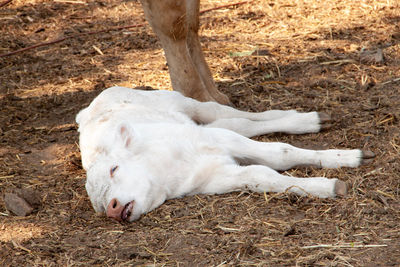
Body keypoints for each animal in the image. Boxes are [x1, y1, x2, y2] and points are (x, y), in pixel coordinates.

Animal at [76, 87, 374, 223]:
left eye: (114, 168)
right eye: (99, 207)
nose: (113, 208)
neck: (169, 170)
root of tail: (85, 111)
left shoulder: (221, 140)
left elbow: (280, 153)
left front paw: (348, 158)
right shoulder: (215, 179)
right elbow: (261, 175)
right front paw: (328, 186)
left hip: (184, 103)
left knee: (231, 114)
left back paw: (309, 119)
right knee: (238, 122)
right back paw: (310, 121)